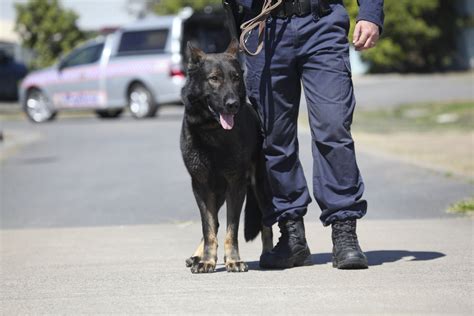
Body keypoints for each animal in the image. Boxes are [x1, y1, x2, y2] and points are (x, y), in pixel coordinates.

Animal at [180, 39, 272, 272]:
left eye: (236, 78)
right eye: (214, 79)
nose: (233, 104)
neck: (213, 132)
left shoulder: (236, 185)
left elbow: (232, 228)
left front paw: (233, 259)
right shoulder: (201, 186)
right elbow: (208, 227)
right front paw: (206, 259)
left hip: (259, 188)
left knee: (266, 222)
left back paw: (270, 255)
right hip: (217, 192)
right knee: (214, 222)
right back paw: (197, 256)